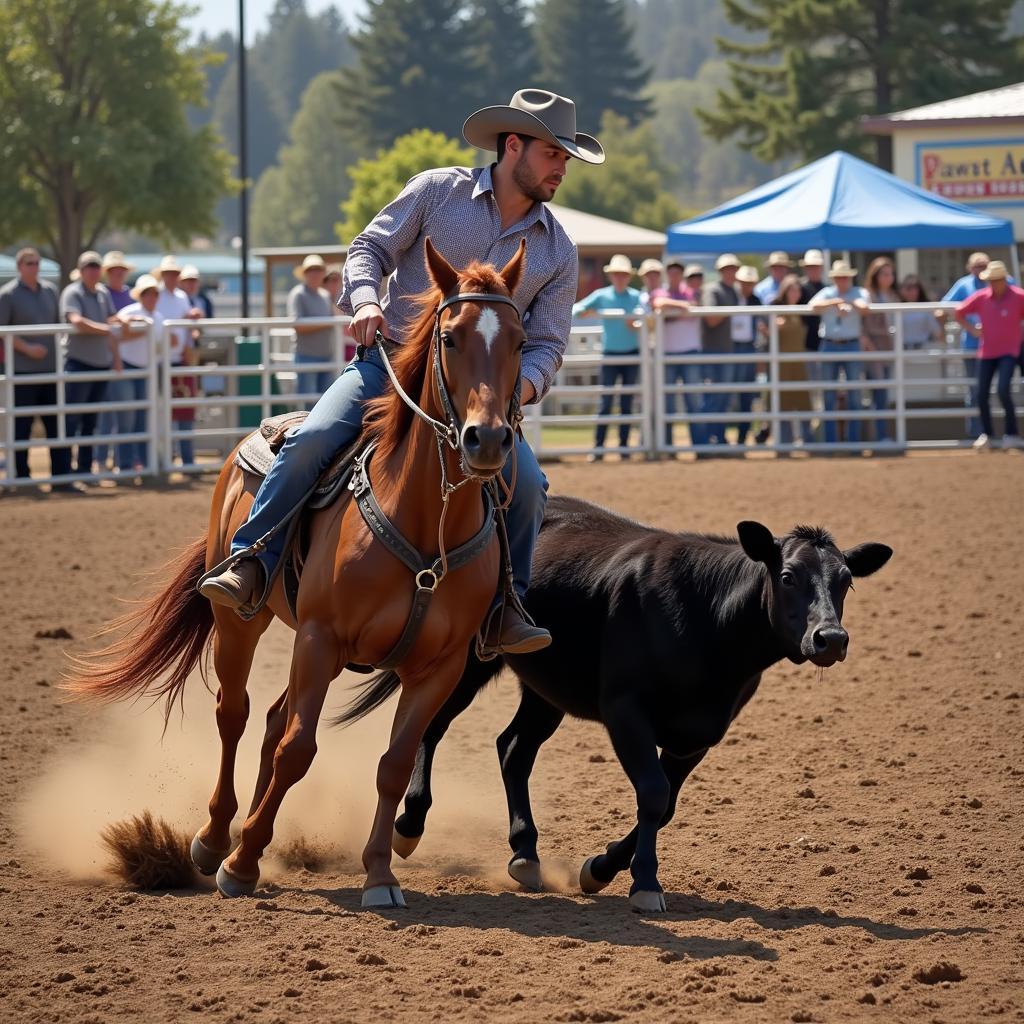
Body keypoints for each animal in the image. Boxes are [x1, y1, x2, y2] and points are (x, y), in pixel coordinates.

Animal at [70, 237, 528, 905]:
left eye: (520, 340)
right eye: (450, 337)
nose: (486, 440)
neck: (423, 522)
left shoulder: (436, 668)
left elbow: (393, 763)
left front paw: (379, 872)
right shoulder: (320, 637)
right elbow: (298, 751)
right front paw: (242, 864)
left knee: (270, 720)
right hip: (242, 622)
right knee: (235, 714)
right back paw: (215, 839)